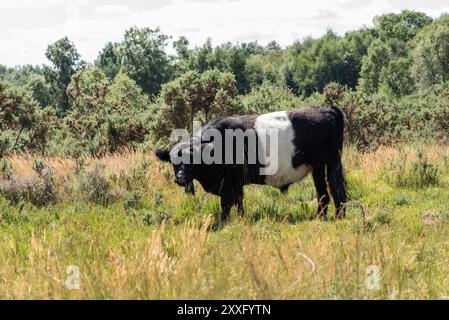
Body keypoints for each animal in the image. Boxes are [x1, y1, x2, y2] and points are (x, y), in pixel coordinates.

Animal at [156, 106, 348, 221]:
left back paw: (339, 218)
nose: (180, 177)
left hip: (331, 162)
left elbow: (230, 203)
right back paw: (319, 218)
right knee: (323, 194)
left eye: (192, 159)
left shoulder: (232, 182)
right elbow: (234, 202)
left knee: (338, 190)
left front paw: (231, 220)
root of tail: (326, 108)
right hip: (317, 166)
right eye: (173, 162)